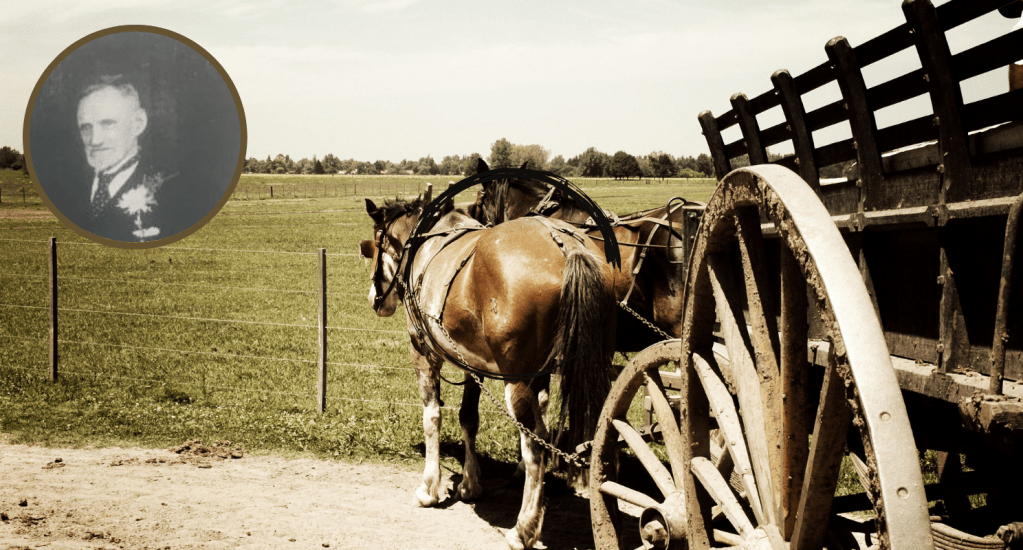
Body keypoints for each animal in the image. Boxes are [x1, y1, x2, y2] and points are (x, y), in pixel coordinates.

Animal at [360, 195, 617, 550]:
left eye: (376, 242)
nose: (375, 299)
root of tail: (568, 247)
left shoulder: (423, 353)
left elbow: (432, 417)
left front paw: (429, 487)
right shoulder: (471, 363)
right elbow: (469, 417)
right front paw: (470, 484)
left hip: (518, 382)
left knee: (535, 446)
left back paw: (523, 528)